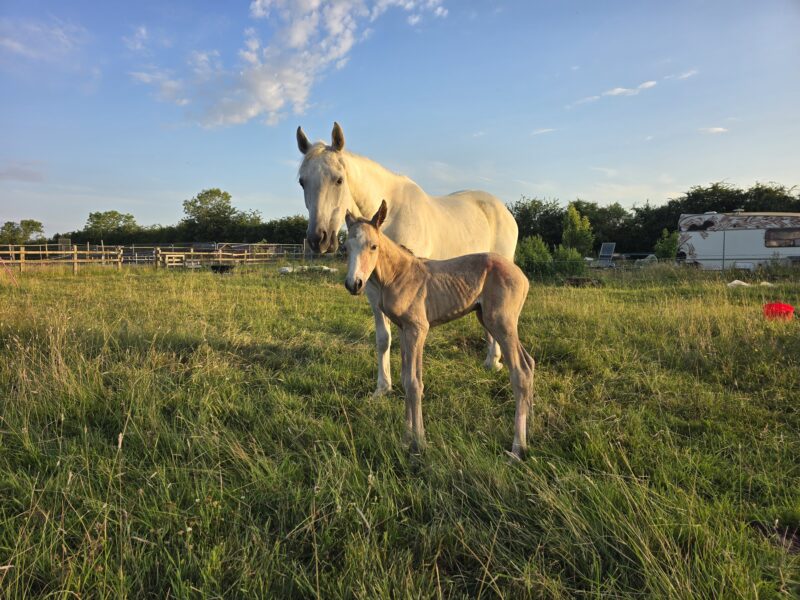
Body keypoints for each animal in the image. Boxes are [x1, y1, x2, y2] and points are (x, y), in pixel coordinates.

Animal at [296, 122, 519, 396]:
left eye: (338, 179)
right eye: (302, 182)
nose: (319, 239)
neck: (391, 217)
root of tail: (503, 210)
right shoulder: (372, 290)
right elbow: (383, 339)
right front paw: (383, 387)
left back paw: (495, 361)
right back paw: (491, 361)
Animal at [344, 200, 534, 457]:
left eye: (373, 246)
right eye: (346, 247)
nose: (354, 284)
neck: (399, 275)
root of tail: (522, 277)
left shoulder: (418, 329)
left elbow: (414, 383)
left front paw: (419, 443)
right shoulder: (404, 329)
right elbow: (405, 379)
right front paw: (405, 439)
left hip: (501, 323)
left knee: (520, 372)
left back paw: (517, 448)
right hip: (495, 321)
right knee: (530, 363)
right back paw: (530, 428)